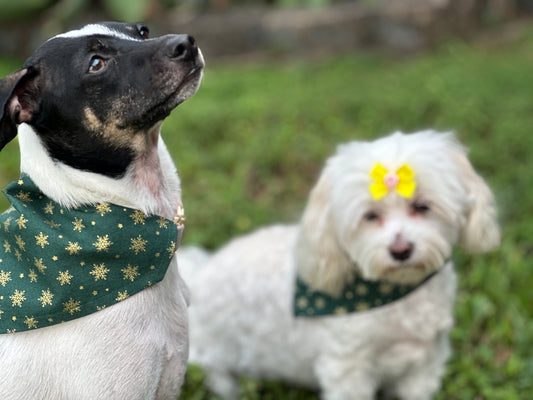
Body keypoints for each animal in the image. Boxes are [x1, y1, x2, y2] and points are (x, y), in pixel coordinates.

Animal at [182, 131, 498, 400]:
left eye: (422, 206)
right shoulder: (348, 369)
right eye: (370, 216)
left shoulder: (425, 363)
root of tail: (198, 274)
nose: (401, 251)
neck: (395, 294)